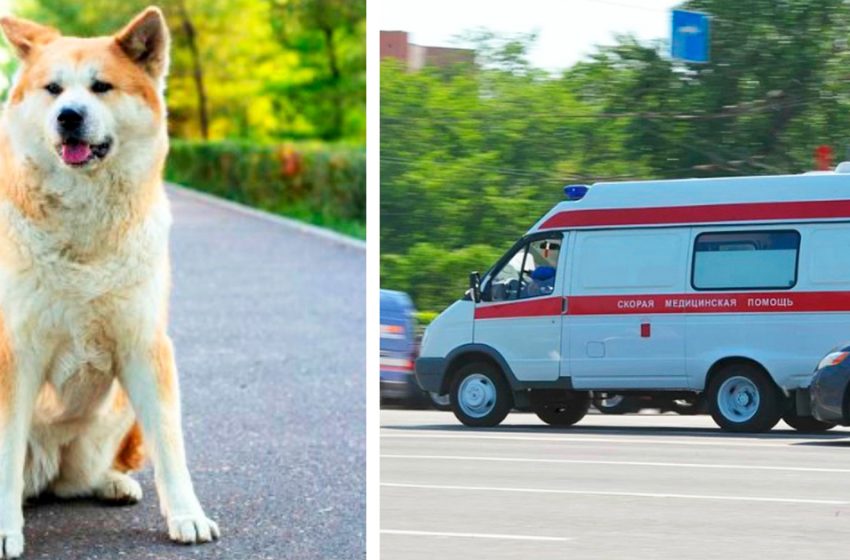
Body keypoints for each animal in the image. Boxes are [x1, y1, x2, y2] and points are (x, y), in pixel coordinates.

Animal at [0, 6, 219, 556]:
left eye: (101, 87)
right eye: (53, 89)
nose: (69, 116)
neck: (84, 233)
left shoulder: (144, 345)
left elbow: (170, 446)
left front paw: (187, 516)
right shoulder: (15, 352)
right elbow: (5, 459)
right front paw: (5, 531)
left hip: (115, 412)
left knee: (73, 480)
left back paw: (111, 483)